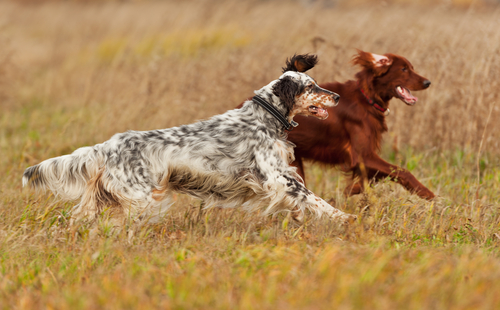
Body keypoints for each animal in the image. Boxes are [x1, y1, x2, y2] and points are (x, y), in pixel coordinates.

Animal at [23, 54, 358, 225]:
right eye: (311, 87)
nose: (338, 97)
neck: (264, 117)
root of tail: (107, 146)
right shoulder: (277, 178)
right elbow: (315, 199)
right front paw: (345, 218)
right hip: (140, 198)